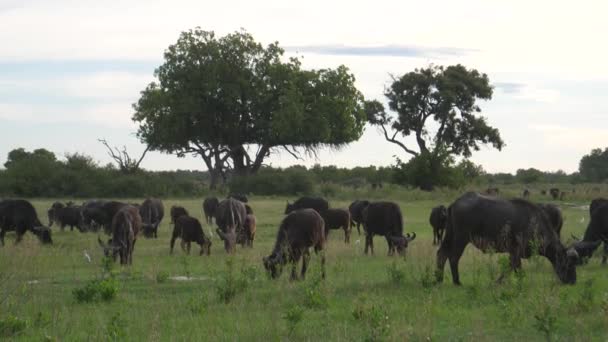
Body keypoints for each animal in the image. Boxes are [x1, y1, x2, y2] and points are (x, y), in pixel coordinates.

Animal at [436, 192, 580, 286]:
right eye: (569, 263)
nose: (573, 281)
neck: (533, 223)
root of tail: (455, 202)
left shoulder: (513, 252)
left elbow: (510, 267)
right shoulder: (516, 251)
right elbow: (515, 268)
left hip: (450, 235)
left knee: (441, 254)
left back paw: (438, 279)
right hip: (461, 238)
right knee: (453, 257)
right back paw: (456, 282)